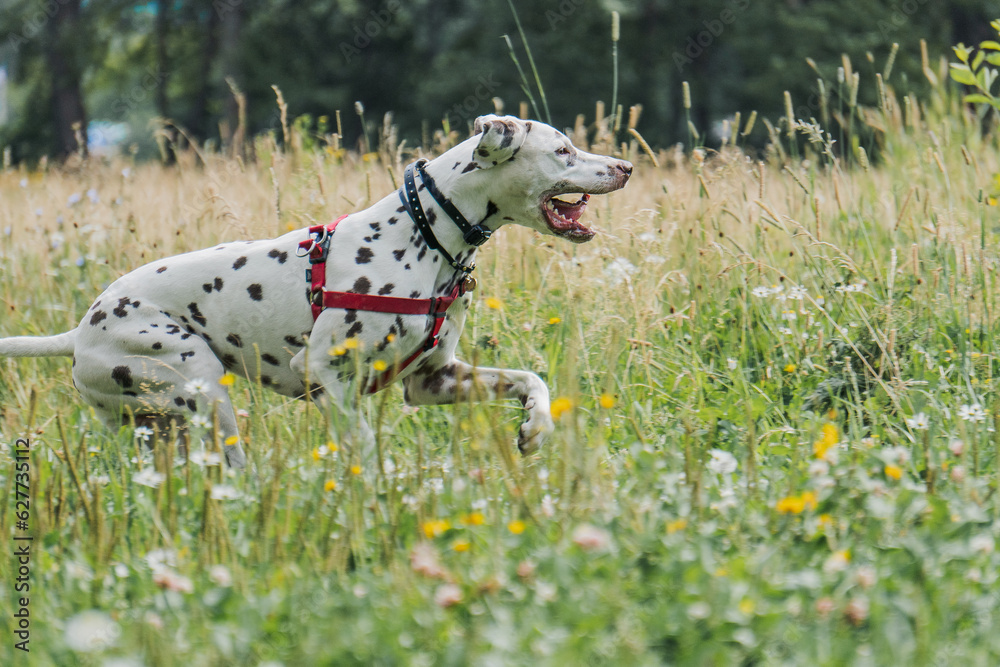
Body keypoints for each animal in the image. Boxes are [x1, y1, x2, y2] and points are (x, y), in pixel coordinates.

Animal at [1, 116, 632, 470]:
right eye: (564, 151)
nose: (625, 166)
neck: (421, 235)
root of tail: (80, 330)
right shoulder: (328, 378)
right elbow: (366, 455)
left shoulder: (435, 381)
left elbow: (531, 381)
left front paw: (535, 428)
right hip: (203, 389)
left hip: (164, 427)